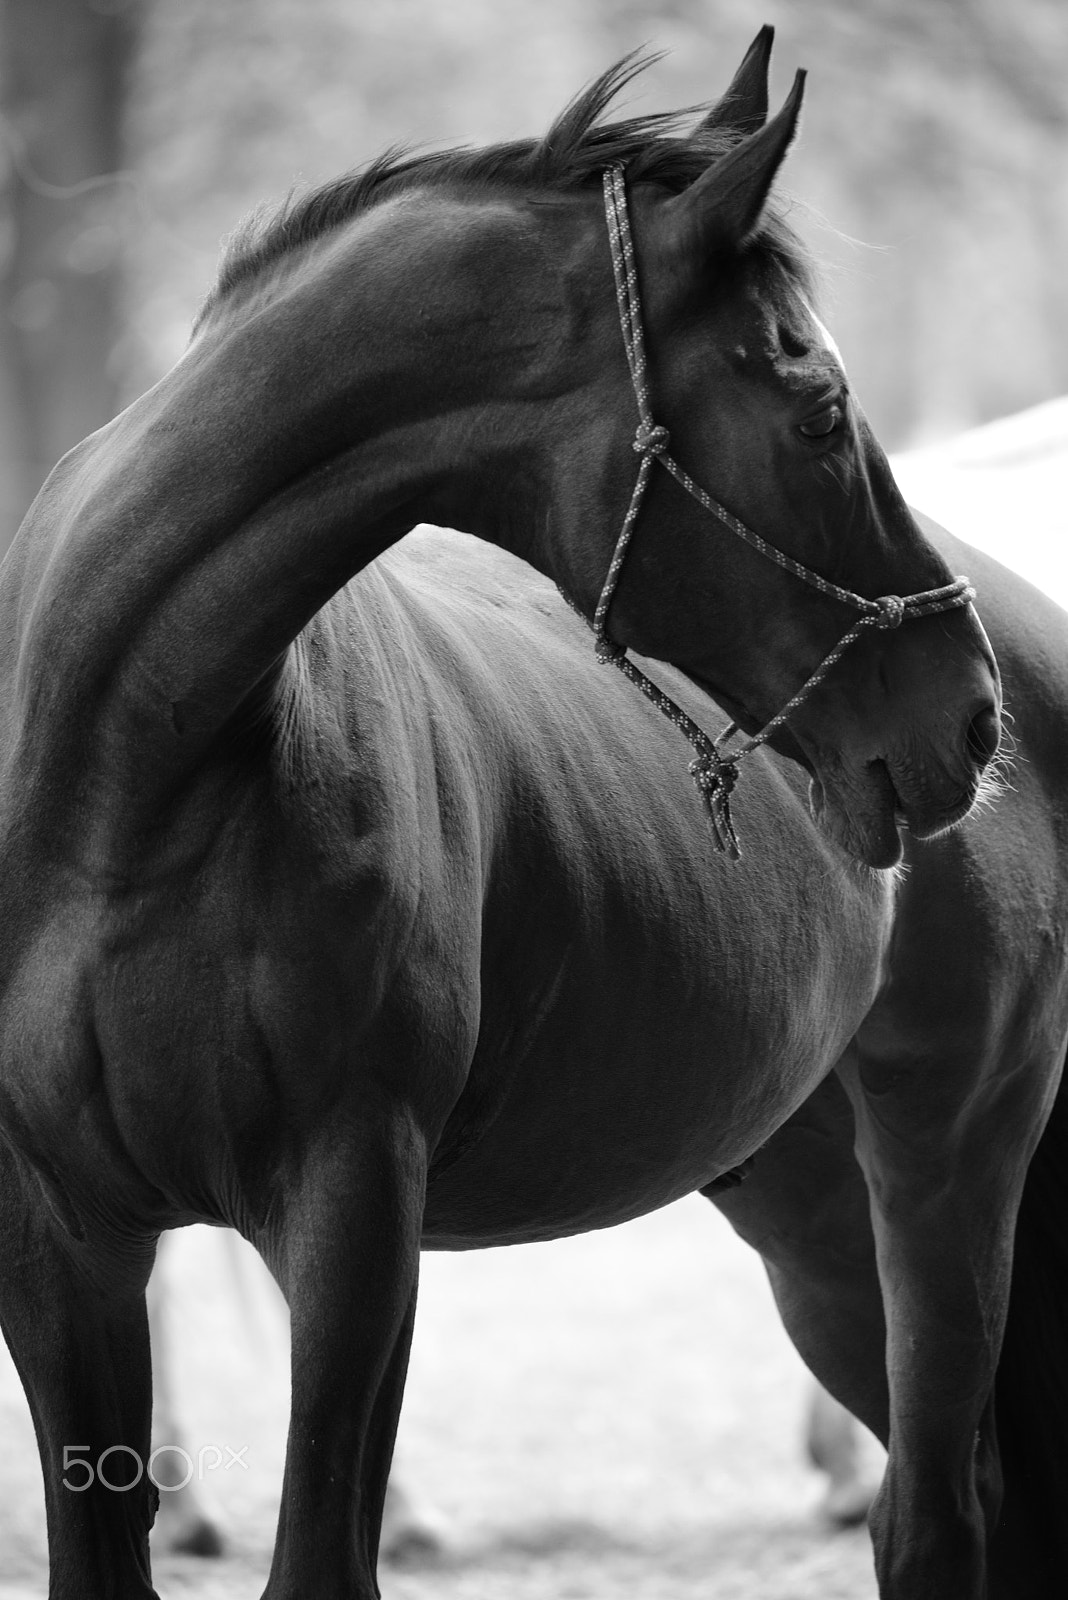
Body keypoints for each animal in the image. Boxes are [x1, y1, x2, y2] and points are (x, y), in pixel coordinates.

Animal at [0, 28, 1031, 1599]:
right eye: (816, 412)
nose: (967, 715)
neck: (124, 797)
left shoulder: (358, 1220)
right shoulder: (60, 1242)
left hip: (946, 1171)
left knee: (937, 1519)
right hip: (810, 1218)